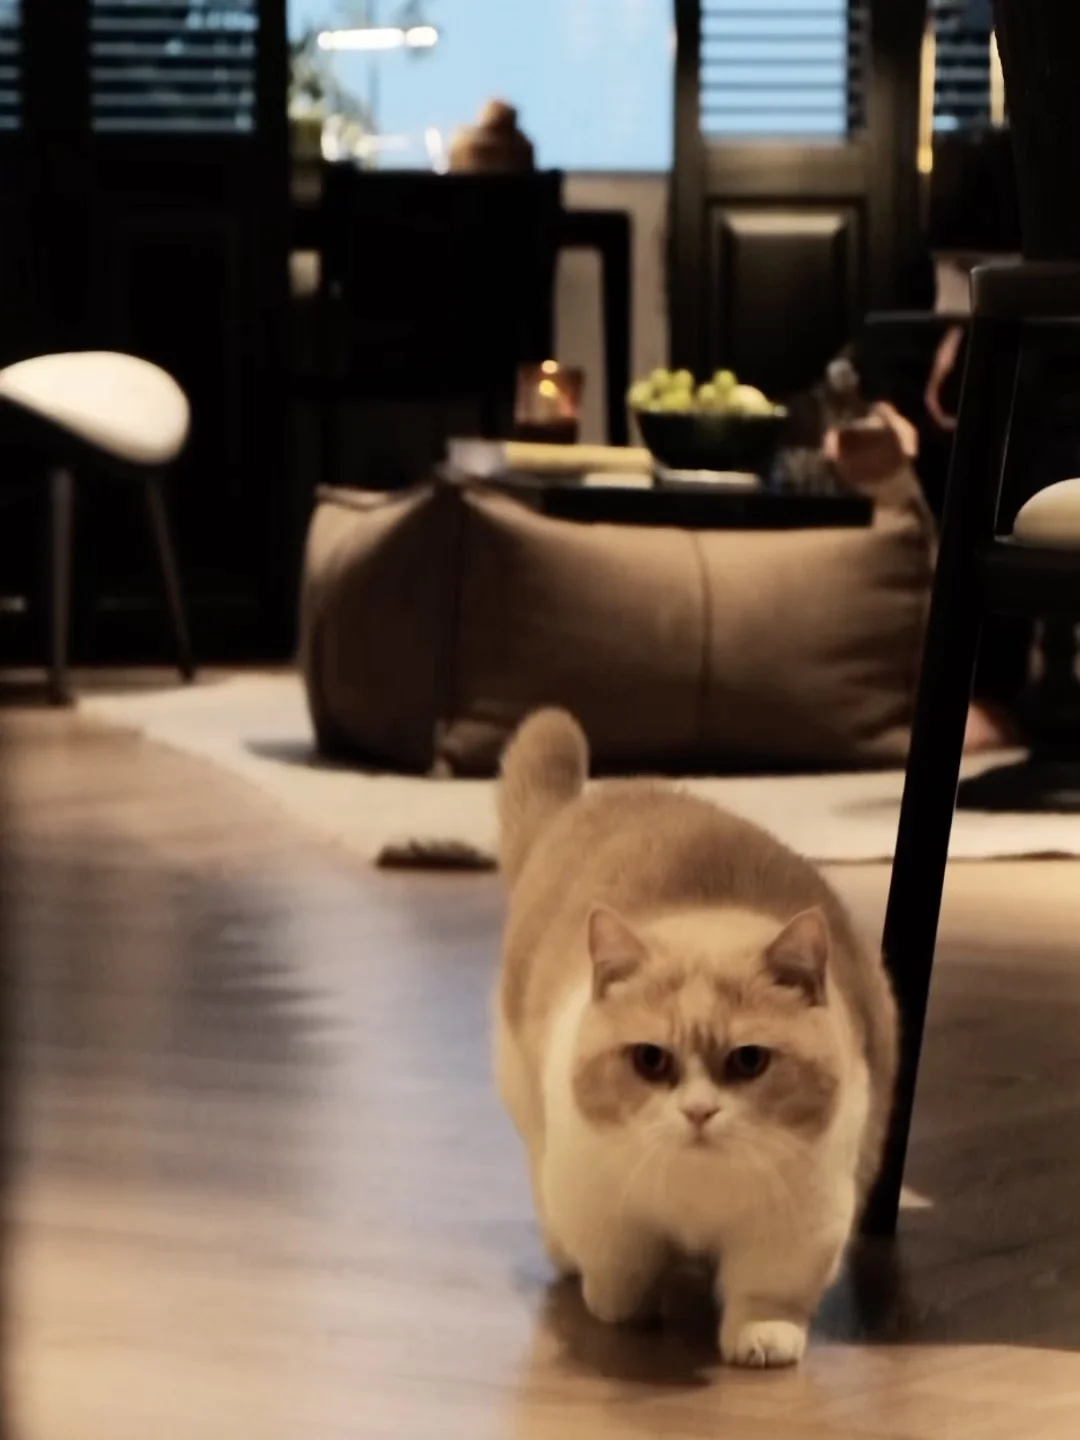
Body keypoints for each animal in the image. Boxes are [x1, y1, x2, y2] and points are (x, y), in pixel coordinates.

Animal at [493, 709, 898, 1368]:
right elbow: (619, 1275)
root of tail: (584, 804)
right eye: (650, 1060)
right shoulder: (603, 1204)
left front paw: (763, 1339)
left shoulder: (801, 1223)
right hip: (526, 1102)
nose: (700, 1112)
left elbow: (767, 1293)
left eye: (749, 1061)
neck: (697, 1198)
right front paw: (621, 1309)